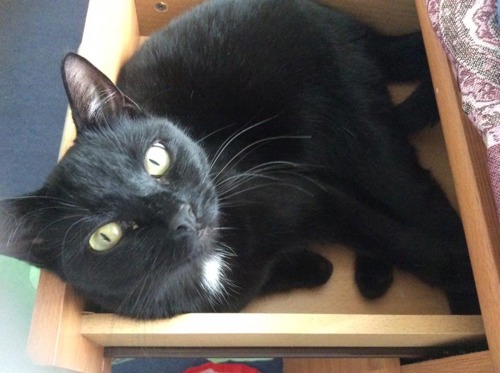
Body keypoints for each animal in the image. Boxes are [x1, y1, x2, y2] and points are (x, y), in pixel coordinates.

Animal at [0, 0, 478, 316]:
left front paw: (457, 273)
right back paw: (372, 275)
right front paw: (313, 266)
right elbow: (271, 278)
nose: (181, 214)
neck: (212, 261)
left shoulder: (306, 191)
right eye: (106, 236)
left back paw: (463, 290)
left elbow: (389, 234)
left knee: (418, 199)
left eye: (155, 160)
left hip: (367, 142)